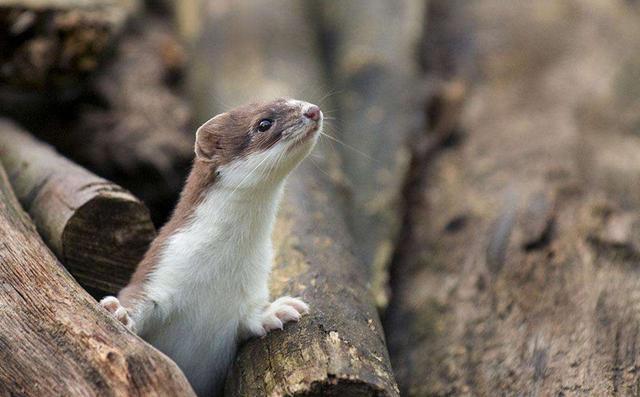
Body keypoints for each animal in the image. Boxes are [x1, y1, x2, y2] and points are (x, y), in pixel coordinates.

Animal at [100, 98, 322, 392]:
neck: (221, 265)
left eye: (293, 100)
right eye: (263, 123)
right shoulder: (163, 263)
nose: (313, 110)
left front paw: (279, 310)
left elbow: (250, 317)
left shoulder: (254, 279)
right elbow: (139, 298)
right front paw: (120, 312)